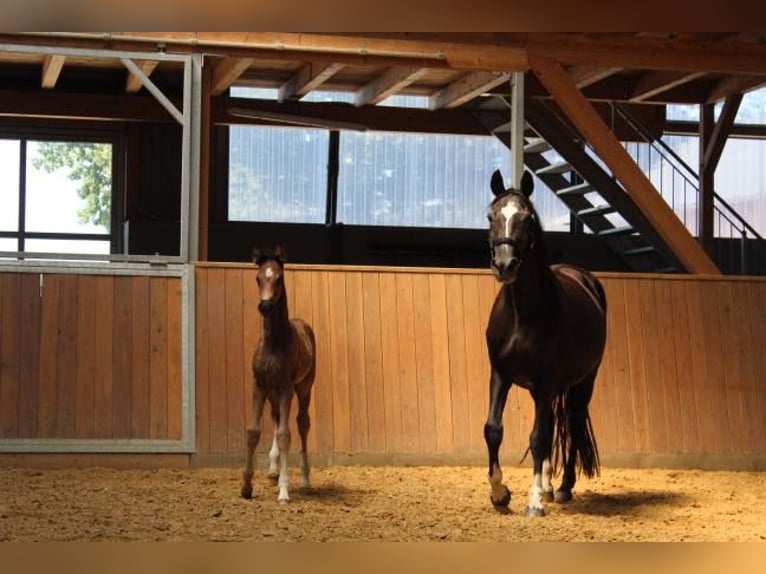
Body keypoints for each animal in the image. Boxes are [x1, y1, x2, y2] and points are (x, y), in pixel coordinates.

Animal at [241, 245, 317, 502]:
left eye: (279, 278)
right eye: (258, 278)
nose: (265, 306)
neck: (274, 342)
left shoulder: (285, 387)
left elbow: (285, 434)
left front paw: (284, 490)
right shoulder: (259, 384)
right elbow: (253, 430)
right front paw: (246, 486)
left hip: (303, 388)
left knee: (302, 424)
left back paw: (304, 479)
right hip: (274, 392)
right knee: (275, 418)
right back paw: (273, 469)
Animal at [483, 169, 607, 517]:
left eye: (526, 218)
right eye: (491, 216)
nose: (505, 265)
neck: (522, 314)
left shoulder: (545, 381)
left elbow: (538, 437)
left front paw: (534, 499)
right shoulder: (501, 374)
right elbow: (493, 429)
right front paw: (500, 494)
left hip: (583, 383)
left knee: (572, 424)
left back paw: (562, 487)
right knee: (555, 423)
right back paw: (551, 486)